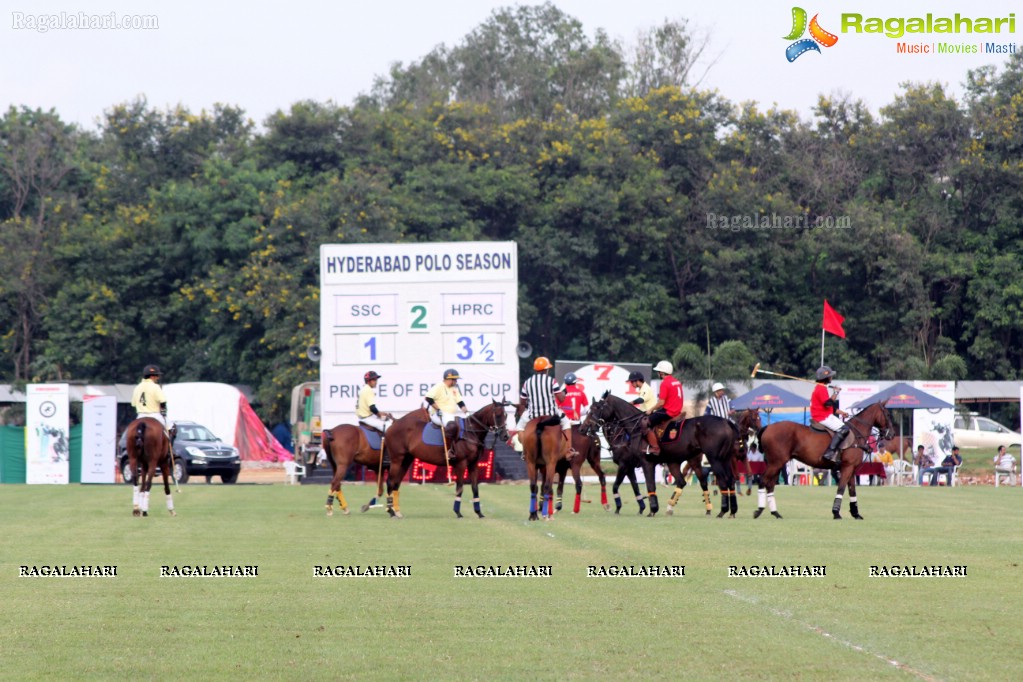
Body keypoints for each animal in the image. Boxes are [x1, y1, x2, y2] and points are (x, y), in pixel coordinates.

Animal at [581, 394, 740, 517]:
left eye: (597, 408)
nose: (583, 428)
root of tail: (727, 422)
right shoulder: (630, 466)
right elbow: (635, 487)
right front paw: (642, 508)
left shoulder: (638, 463)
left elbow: (644, 485)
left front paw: (650, 509)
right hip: (711, 460)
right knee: (721, 480)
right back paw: (728, 511)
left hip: (713, 459)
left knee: (723, 481)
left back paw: (722, 511)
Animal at [757, 402, 892, 519]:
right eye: (887, 414)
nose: (891, 434)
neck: (857, 434)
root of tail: (768, 427)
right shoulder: (847, 467)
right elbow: (841, 488)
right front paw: (836, 513)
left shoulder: (852, 469)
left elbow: (852, 491)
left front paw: (856, 514)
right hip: (776, 463)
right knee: (762, 480)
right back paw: (759, 510)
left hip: (775, 463)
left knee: (770, 484)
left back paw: (775, 513)